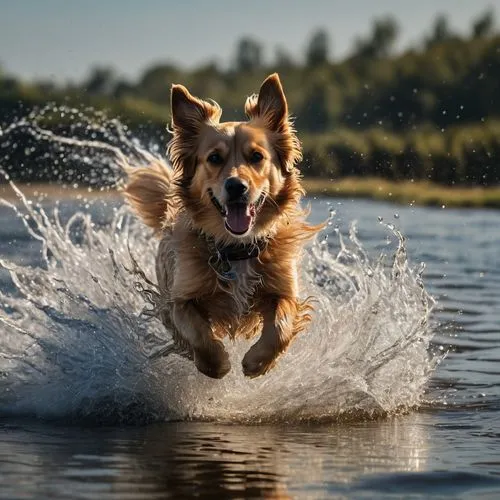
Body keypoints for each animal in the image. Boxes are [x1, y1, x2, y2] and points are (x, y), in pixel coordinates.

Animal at [123, 74, 322, 378]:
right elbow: (196, 333)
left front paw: (258, 362)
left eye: (256, 157)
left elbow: (280, 326)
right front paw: (216, 364)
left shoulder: (284, 290)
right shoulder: (178, 298)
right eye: (214, 158)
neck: (236, 248)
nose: (236, 186)